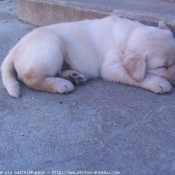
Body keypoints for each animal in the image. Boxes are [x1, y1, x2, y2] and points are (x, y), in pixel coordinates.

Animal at [1, 15, 175, 98]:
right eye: (163, 67)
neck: (129, 34)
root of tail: (14, 49)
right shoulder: (111, 67)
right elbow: (139, 76)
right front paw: (159, 82)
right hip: (51, 45)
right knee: (31, 79)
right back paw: (61, 84)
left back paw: (73, 76)